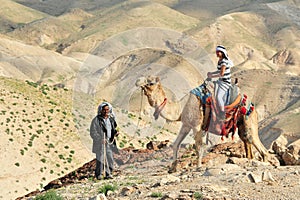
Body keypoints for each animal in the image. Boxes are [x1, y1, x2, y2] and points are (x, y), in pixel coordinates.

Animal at [135, 76, 272, 173]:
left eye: (151, 82)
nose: (137, 82)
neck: (181, 107)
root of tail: (251, 104)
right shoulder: (186, 125)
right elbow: (176, 144)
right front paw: (172, 168)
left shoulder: (197, 126)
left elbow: (198, 146)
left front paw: (199, 166)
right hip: (241, 123)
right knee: (246, 139)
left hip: (249, 119)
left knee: (257, 144)